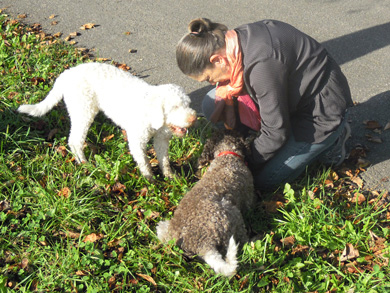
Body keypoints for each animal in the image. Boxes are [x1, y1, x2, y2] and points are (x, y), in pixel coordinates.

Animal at [17, 62, 198, 179]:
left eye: (187, 104)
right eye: (174, 107)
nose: (193, 118)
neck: (151, 115)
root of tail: (67, 73)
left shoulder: (161, 139)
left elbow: (164, 160)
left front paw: (171, 177)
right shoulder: (137, 141)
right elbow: (144, 162)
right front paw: (150, 181)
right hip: (84, 110)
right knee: (75, 140)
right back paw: (84, 164)